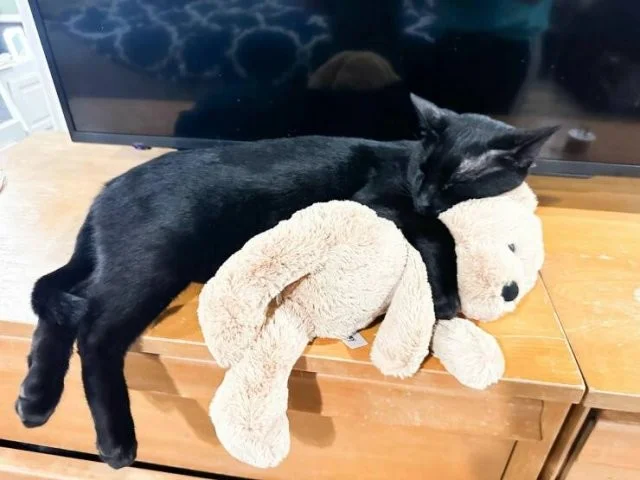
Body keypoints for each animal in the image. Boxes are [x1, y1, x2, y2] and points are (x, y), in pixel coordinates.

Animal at [15, 97, 557, 469]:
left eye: (456, 181)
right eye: (422, 170)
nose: (424, 194)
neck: (404, 167)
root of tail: (105, 193)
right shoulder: (381, 201)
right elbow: (437, 231)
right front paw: (446, 296)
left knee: (55, 303)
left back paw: (35, 399)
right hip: (150, 265)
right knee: (94, 333)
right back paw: (115, 440)